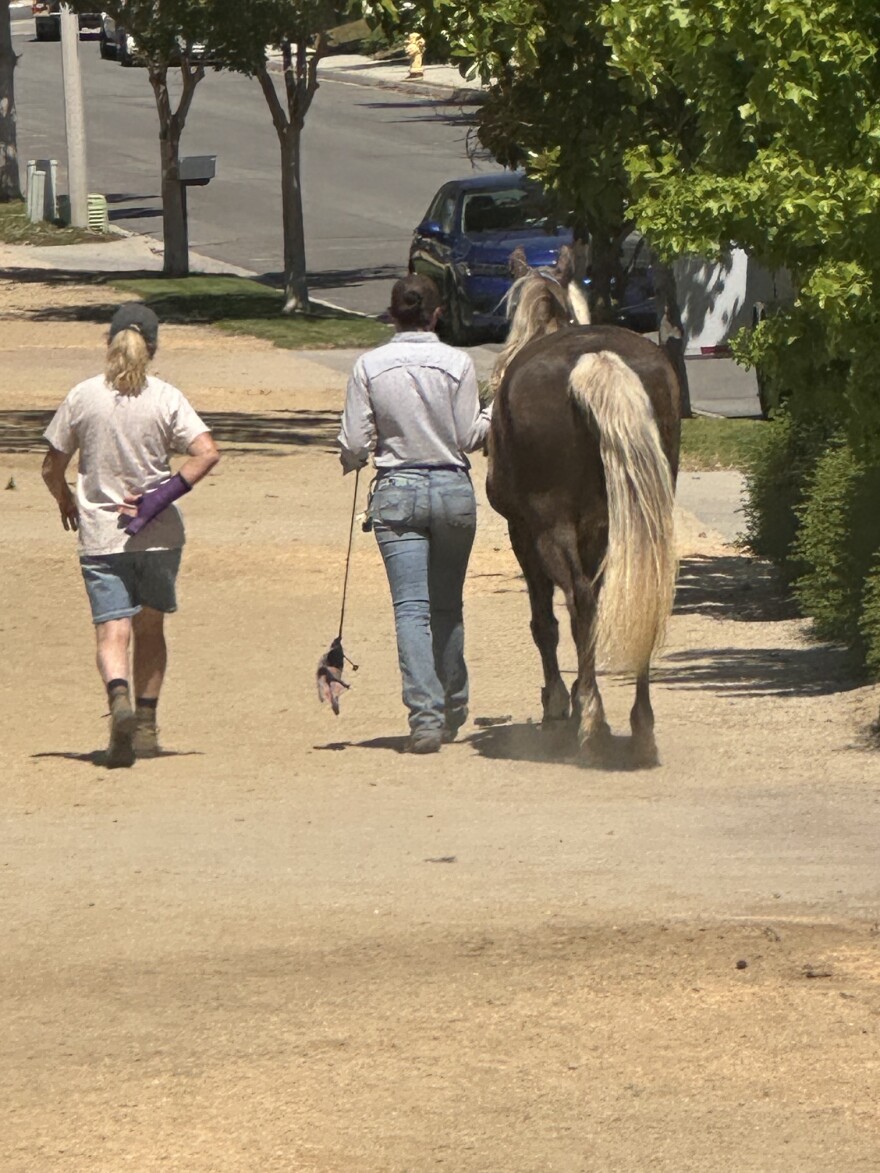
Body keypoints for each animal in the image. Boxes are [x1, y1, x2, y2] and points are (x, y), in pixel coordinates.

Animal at [486, 245, 680, 766]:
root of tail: (598, 359)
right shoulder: (598, 530)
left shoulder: (522, 534)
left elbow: (545, 623)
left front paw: (559, 701)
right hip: (639, 520)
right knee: (636, 595)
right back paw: (640, 726)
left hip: (548, 529)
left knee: (579, 601)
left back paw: (591, 721)